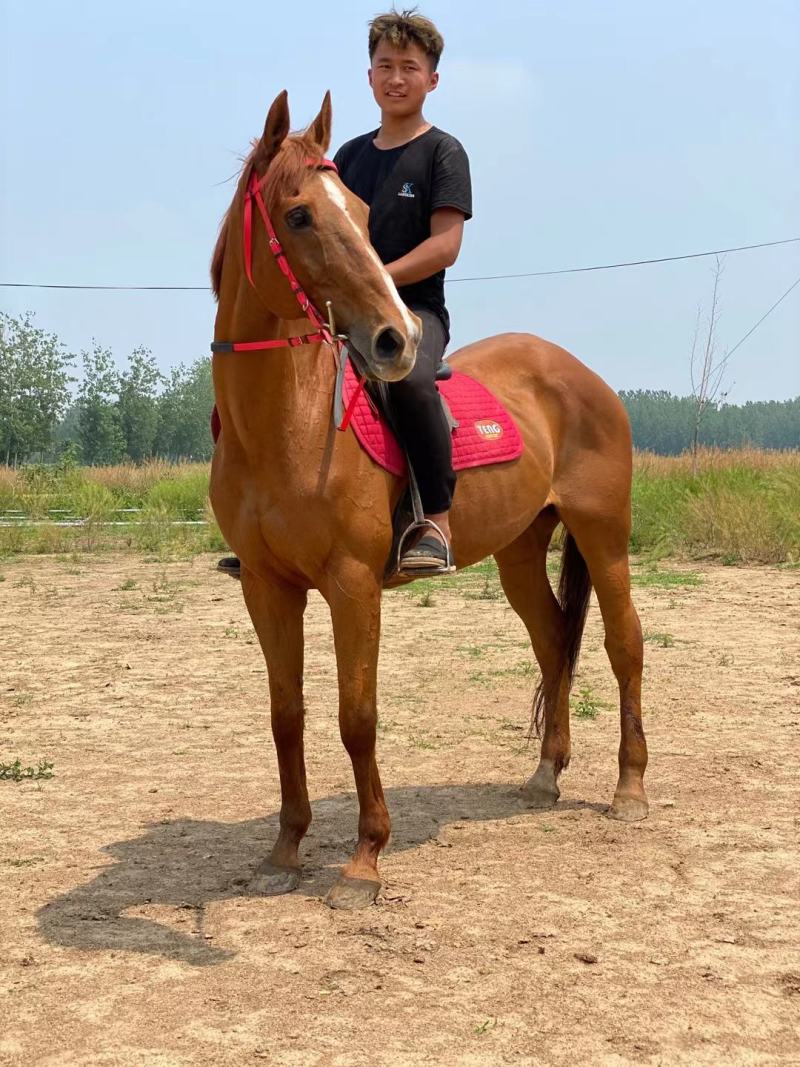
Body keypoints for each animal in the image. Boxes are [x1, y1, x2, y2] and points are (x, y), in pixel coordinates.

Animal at [209, 91, 648, 910]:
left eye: (356, 209)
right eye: (299, 215)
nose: (396, 338)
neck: (287, 424)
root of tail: (582, 374)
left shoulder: (352, 584)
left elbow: (357, 717)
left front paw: (364, 860)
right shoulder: (266, 586)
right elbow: (287, 715)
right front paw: (284, 848)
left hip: (604, 533)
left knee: (623, 644)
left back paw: (630, 789)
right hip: (519, 548)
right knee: (553, 641)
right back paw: (545, 775)